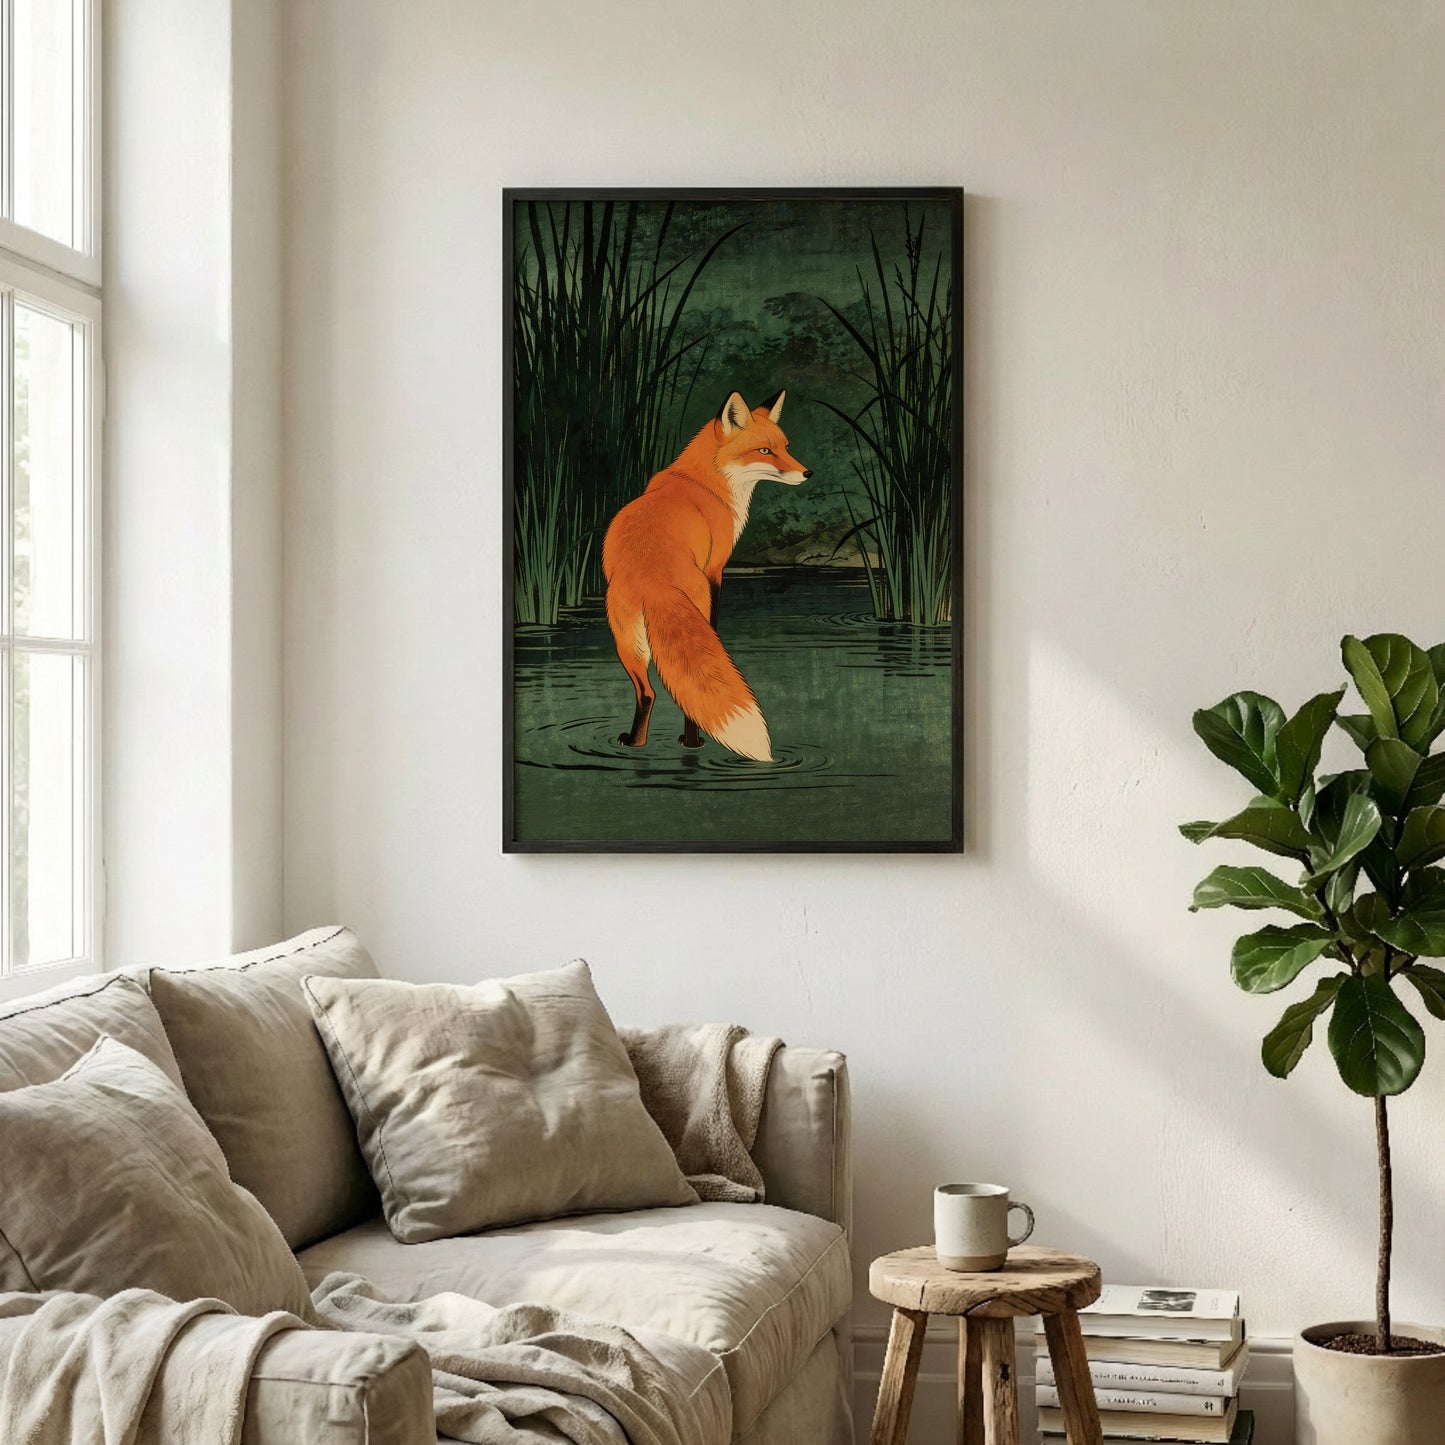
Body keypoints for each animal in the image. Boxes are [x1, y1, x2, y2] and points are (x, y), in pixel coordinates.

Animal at [602, 389, 812, 763]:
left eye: (786, 446)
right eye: (765, 451)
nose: (807, 473)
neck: (707, 481)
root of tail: (653, 581)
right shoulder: (716, 568)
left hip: (625, 642)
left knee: (648, 693)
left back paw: (636, 744)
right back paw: (692, 742)